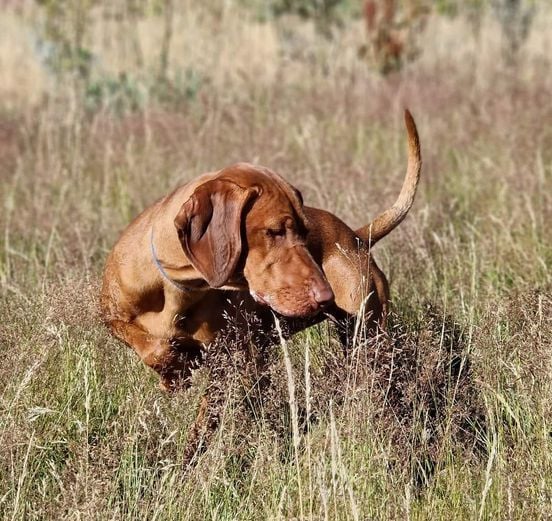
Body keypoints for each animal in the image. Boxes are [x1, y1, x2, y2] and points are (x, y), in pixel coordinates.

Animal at [100, 110, 418, 446]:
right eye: (274, 231)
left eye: (305, 232)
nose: (326, 296)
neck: (179, 288)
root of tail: (356, 237)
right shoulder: (111, 316)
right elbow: (151, 347)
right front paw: (172, 372)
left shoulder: (229, 361)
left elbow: (205, 420)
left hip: (367, 338)